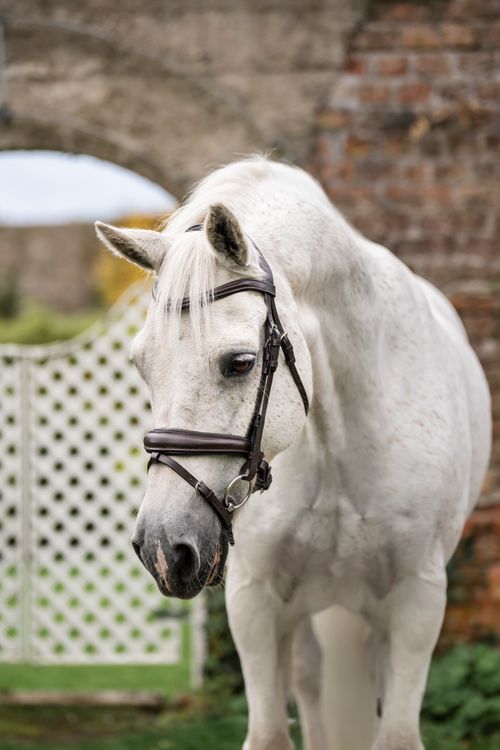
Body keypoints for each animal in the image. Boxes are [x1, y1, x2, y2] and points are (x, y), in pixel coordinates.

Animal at [95, 156, 491, 750]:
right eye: (142, 364)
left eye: (239, 362)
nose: (164, 549)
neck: (336, 437)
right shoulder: (255, 602)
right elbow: (270, 733)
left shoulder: (417, 601)